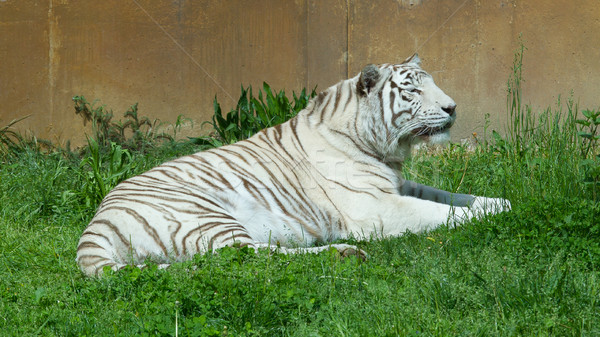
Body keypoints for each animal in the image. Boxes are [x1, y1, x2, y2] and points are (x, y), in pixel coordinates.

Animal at [77, 54, 510, 276]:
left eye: (429, 83)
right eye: (412, 91)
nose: (452, 108)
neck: (381, 146)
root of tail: (95, 224)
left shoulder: (398, 186)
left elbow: (455, 197)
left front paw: (500, 202)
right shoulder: (377, 208)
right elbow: (442, 213)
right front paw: (496, 213)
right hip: (204, 216)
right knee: (244, 259)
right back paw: (343, 253)